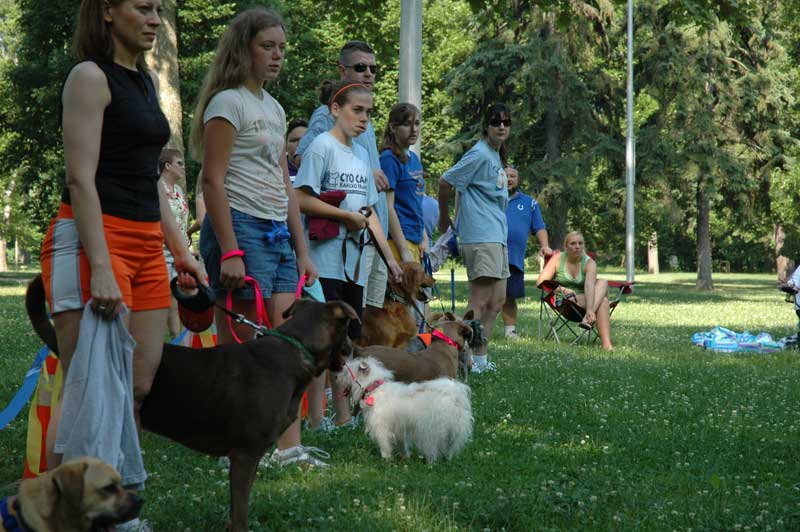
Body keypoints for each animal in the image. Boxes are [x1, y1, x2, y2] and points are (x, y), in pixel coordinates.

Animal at [336, 356, 472, 464]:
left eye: (346, 373)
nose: (336, 376)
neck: (374, 387)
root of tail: (454, 396)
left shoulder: (382, 429)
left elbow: (384, 445)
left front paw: (386, 460)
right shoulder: (399, 429)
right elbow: (403, 446)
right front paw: (405, 457)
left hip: (430, 429)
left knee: (432, 447)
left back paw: (430, 463)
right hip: (453, 431)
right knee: (450, 448)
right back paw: (447, 460)